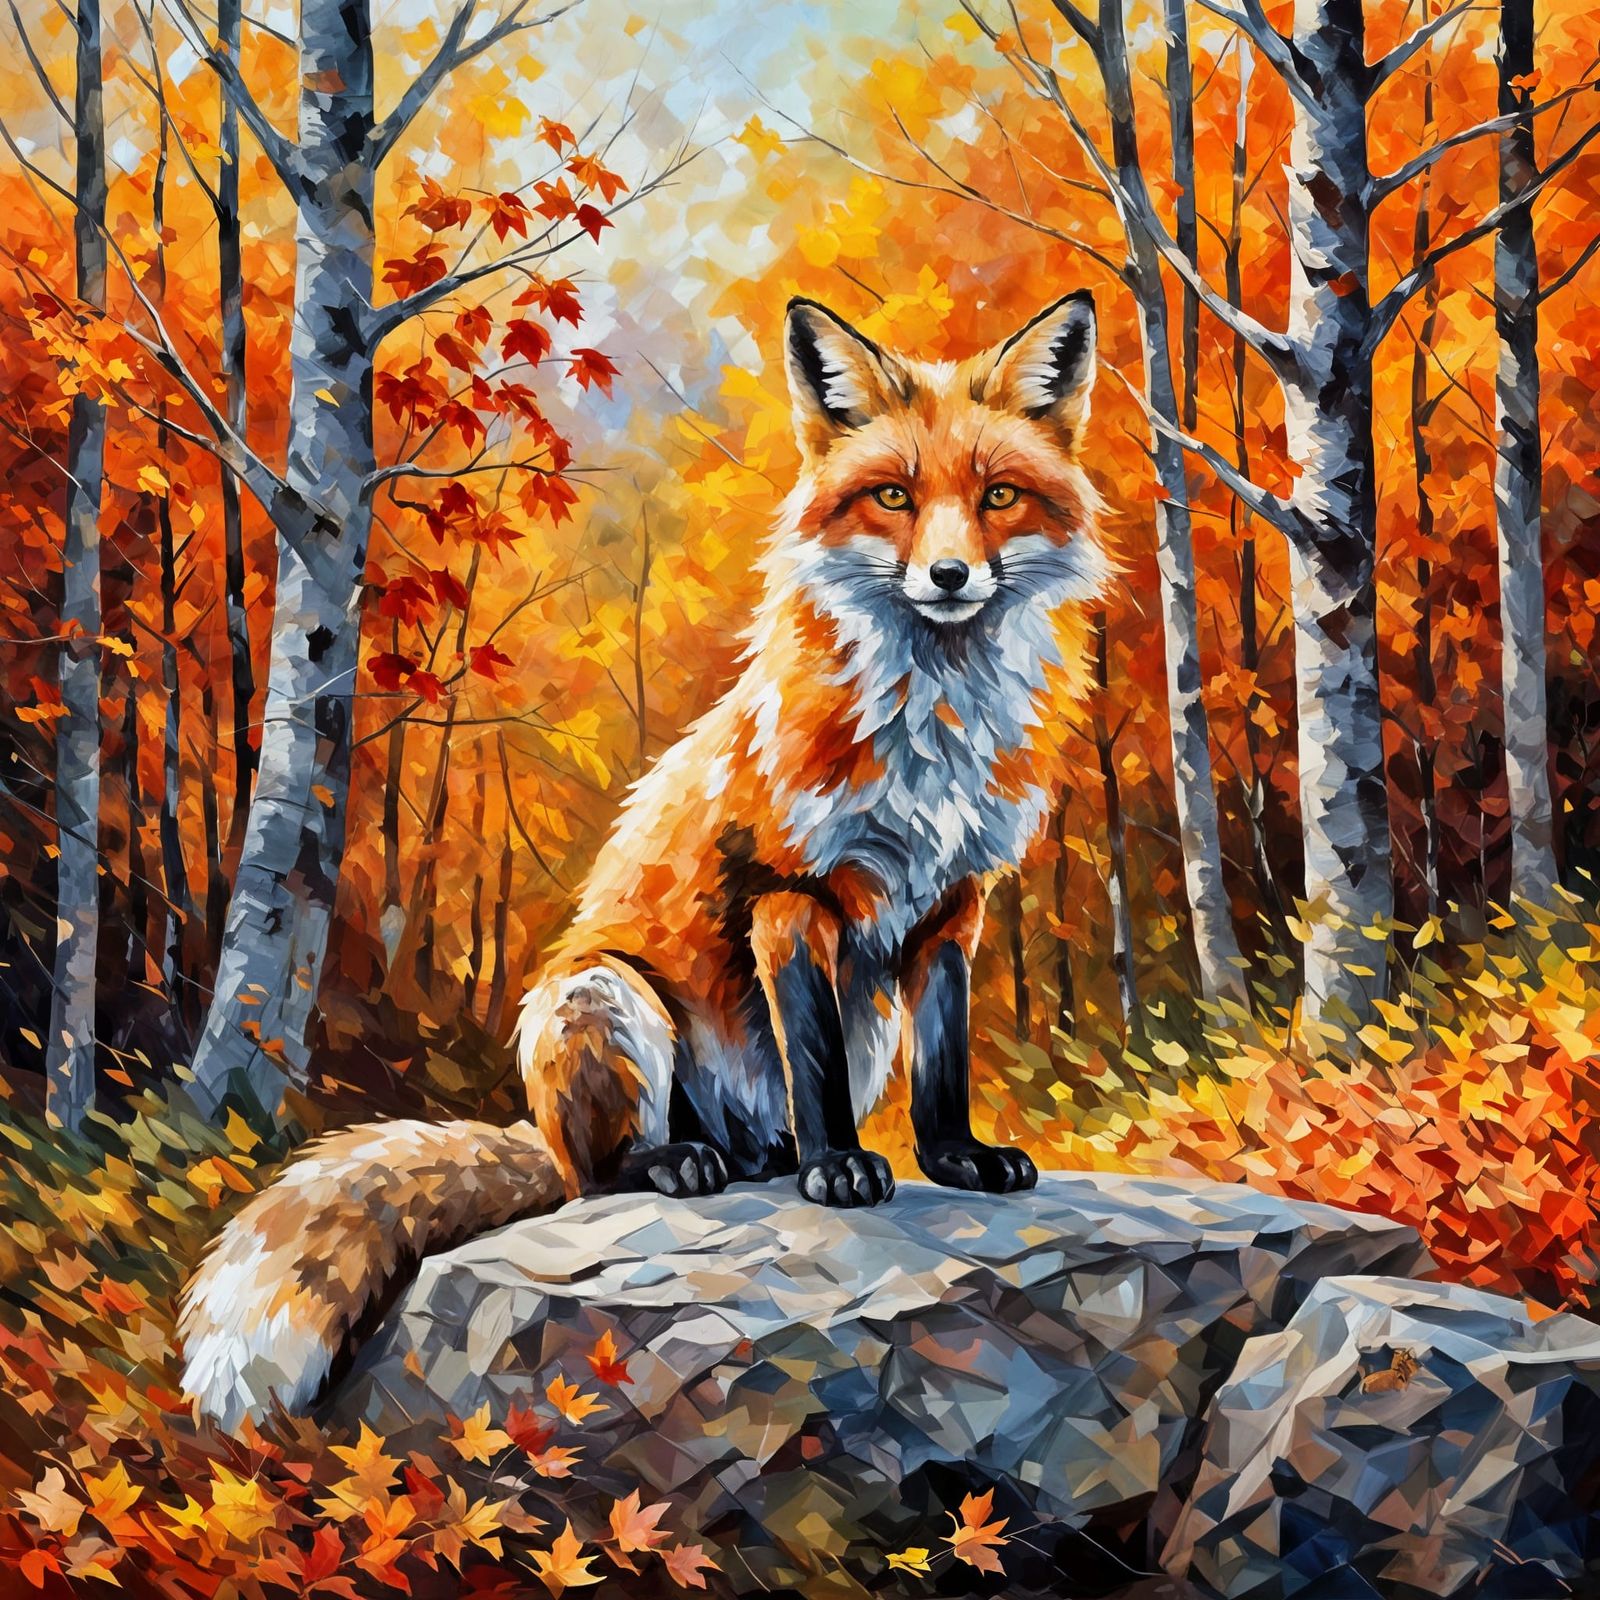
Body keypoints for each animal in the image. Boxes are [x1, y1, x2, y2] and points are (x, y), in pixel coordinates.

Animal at [180, 291, 1110, 1429]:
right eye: (892, 495)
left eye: (999, 496)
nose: (947, 576)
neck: (930, 730)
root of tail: (543, 1133)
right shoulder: (789, 895)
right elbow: (814, 1070)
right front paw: (839, 1167)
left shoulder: (950, 908)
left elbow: (943, 1068)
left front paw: (956, 1159)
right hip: (603, 999)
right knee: (606, 1174)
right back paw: (685, 1160)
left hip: (855, 1017)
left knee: (741, 1142)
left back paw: (759, 1159)